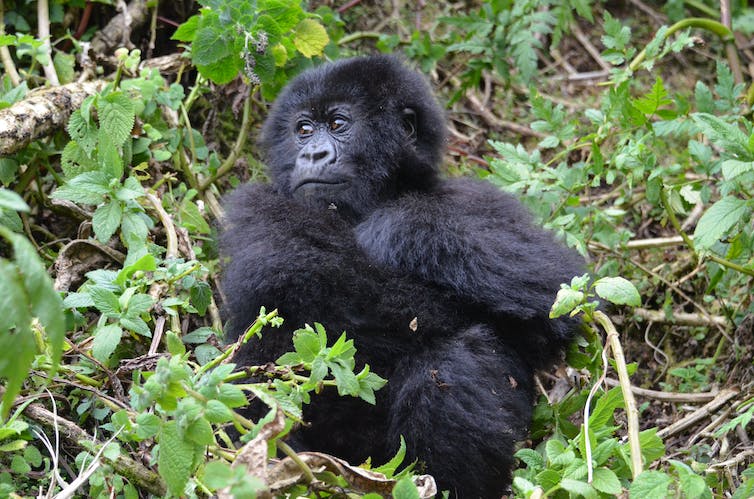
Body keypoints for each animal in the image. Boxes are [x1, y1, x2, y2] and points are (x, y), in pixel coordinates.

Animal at [220, 55, 584, 499]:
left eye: (338, 124)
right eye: (303, 129)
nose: (313, 154)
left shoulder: (482, 201)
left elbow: (558, 290)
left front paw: (396, 226)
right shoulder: (255, 208)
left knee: (450, 359)